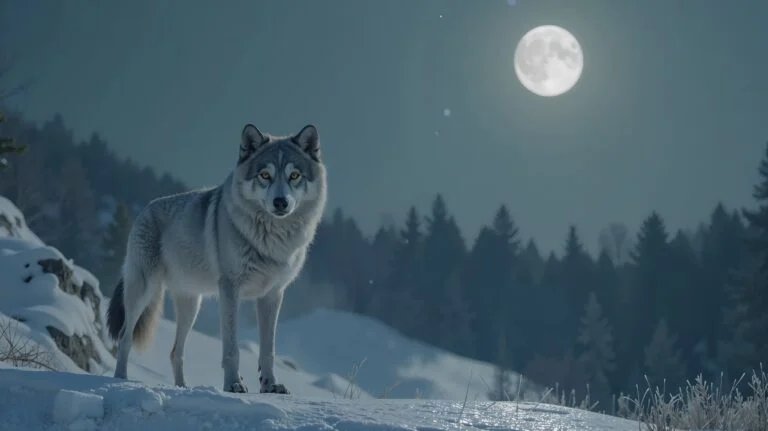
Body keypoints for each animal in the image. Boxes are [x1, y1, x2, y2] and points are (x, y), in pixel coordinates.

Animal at [106, 123, 327, 394]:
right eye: (265, 175)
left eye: (294, 176)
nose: (280, 202)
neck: (272, 242)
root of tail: (145, 209)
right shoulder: (230, 290)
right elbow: (232, 349)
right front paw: (233, 384)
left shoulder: (273, 295)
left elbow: (268, 351)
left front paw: (270, 386)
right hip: (143, 292)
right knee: (125, 337)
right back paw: (120, 379)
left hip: (192, 305)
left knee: (175, 352)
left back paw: (183, 387)